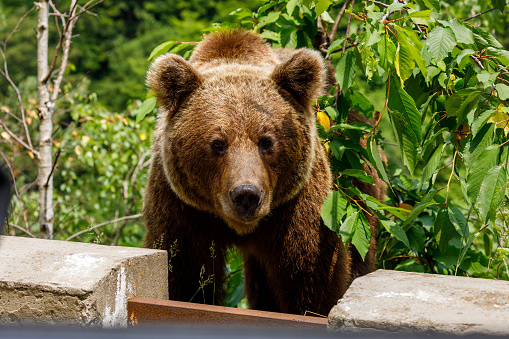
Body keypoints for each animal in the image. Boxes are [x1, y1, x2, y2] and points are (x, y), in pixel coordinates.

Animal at [142, 30, 380, 318]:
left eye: (267, 141)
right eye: (218, 143)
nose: (246, 195)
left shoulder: (298, 207)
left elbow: (312, 279)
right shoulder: (182, 209)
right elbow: (184, 276)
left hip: (358, 173)